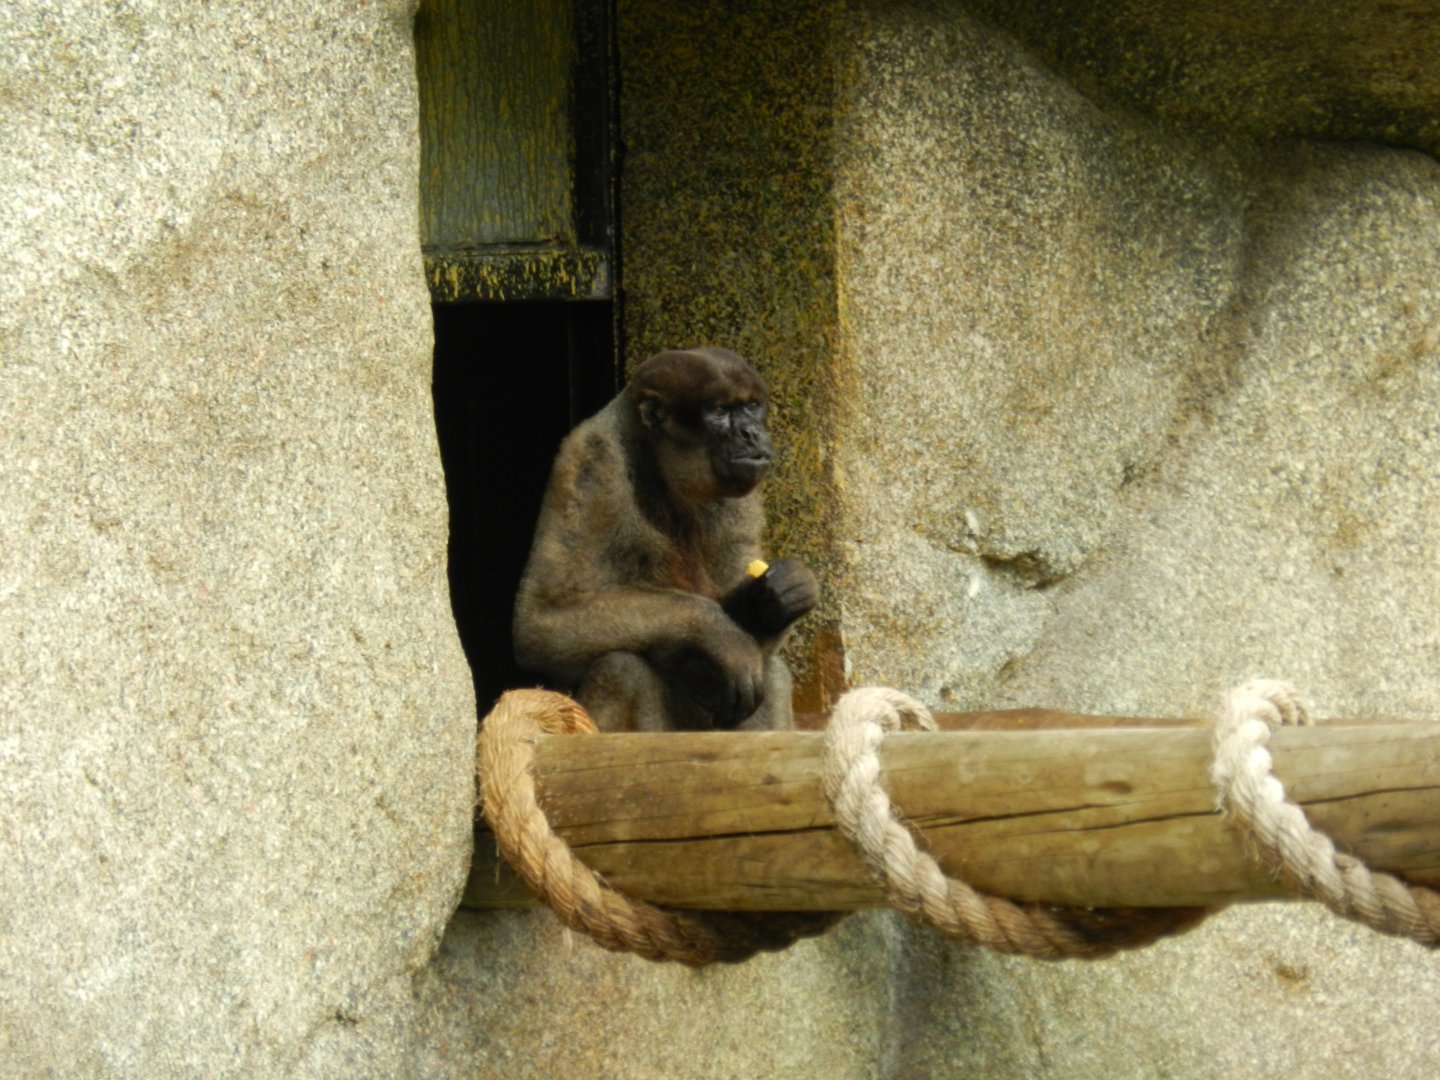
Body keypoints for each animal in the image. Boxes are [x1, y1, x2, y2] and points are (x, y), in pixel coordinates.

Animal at [512, 347, 818, 731]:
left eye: (750, 407)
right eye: (718, 412)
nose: (751, 433)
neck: (657, 465)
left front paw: (788, 591)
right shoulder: (592, 461)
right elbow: (539, 622)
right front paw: (714, 630)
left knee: (771, 674)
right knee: (622, 669)